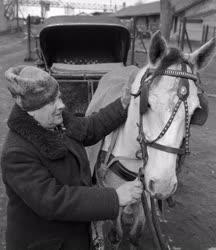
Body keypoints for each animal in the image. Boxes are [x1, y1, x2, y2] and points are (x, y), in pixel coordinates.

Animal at [86, 31, 216, 250]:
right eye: (147, 104)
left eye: (196, 111)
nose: (164, 185)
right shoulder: (114, 192)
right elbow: (116, 233)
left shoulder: (147, 191)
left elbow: (136, 233)